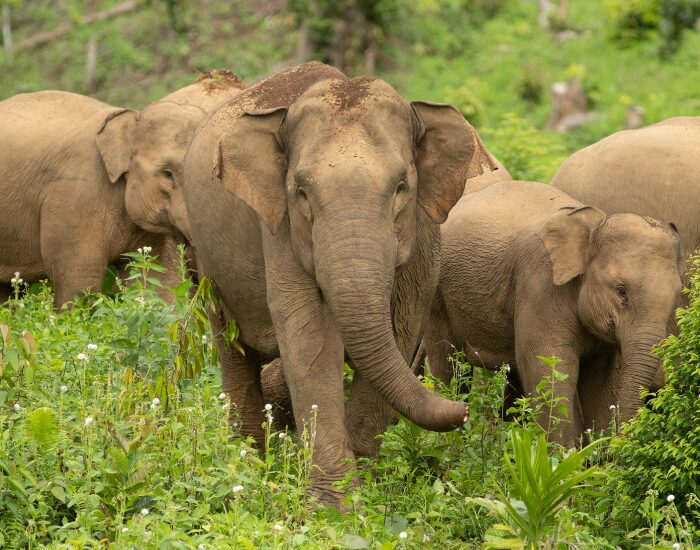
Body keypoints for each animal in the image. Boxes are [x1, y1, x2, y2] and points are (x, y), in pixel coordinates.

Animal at [182, 61, 495, 507]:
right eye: (301, 192)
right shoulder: (280, 231)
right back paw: (249, 467)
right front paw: (335, 506)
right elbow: (310, 335)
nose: (463, 411)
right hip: (204, 261)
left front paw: (365, 486)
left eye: (401, 187)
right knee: (233, 351)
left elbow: (401, 325)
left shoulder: (424, 232)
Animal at [422, 180, 684, 446]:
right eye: (621, 291)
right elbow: (547, 366)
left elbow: (600, 380)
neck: (594, 225)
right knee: (449, 365)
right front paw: (562, 454)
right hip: (436, 293)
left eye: (676, 295)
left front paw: (597, 452)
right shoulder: (541, 285)